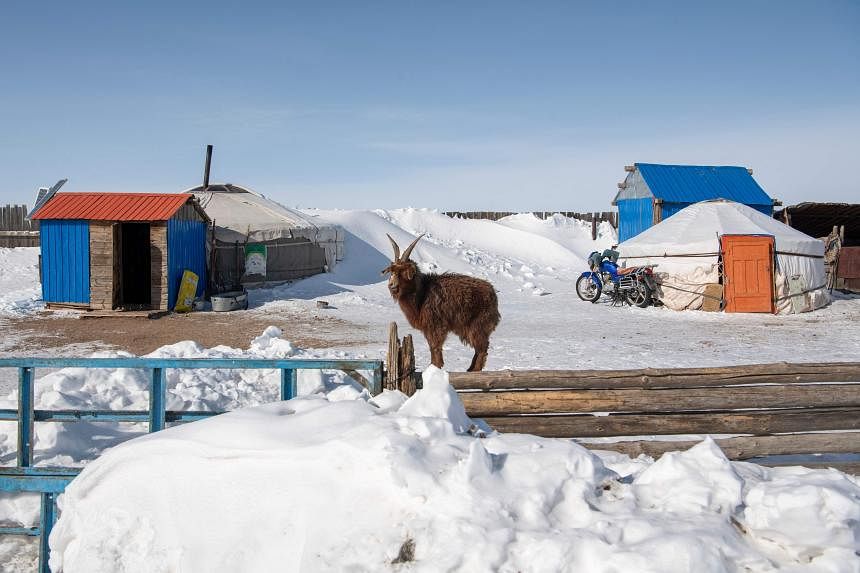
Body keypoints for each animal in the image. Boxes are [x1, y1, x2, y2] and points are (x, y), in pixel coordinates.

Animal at [382, 232, 500, 370]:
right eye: (392, 271)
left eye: (403, 272)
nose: (392, 286)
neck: (422, 293)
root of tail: (492, 293)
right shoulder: (428, 327)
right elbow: (432, 347)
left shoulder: (436, 325)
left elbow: (435, 347)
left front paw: (435, 368)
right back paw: (470, 368)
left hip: (478, 325)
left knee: (482, 347)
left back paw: (474, 369)